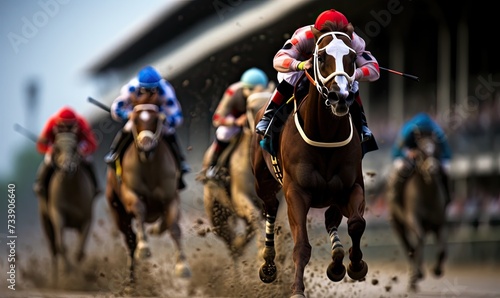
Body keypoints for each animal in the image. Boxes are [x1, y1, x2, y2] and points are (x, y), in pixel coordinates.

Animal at [38, 132, 96, 286]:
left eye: (75, 147)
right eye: (57, 149)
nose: (67, 167)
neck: (71, 191)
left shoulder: (86, 219)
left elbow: (79, 252)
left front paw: (79, 276)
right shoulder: (58, 215)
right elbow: (61, 246)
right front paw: (68, 272)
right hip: (45, 221)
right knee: (53, 249)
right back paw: (54, 281)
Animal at [105, 103, 191, 282]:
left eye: (156, 120)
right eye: (135, 120)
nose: (146, 145)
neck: (150, 168)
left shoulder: (171, 198)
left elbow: (174, 228)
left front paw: (182, 266)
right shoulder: (130, 194)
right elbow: (139, 209)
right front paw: (144, 247)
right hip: (118, 212)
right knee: (130, 240)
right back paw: (130, 281)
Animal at [254, 22, 368, 296]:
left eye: (352, 58)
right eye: (322, 57)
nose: (340, 96)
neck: (325, 134)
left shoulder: (352, 186)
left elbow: (356, 223)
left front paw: (355, 264)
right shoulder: (296, 191)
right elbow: (301, 246)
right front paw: (297, 289)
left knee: (332, 218)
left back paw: (337, 262)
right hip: (263, 180)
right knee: (270, 207)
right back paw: (269, 265)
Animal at [386, 130, 450, 292]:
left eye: (437, 149)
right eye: (421, 151)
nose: (432, 169)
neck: (427, 193)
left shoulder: (440, 223)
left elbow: (442, 249)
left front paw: (437, 270)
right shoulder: (413, 218)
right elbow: (417, 243)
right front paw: (418, 274)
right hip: (397, 224)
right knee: (408, 246)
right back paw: (415, 277)